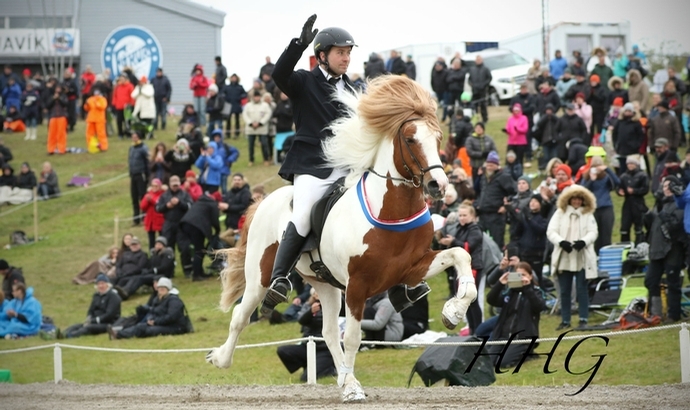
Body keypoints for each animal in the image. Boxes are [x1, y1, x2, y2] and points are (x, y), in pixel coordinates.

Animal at [206, 75, 478, 402]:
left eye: (438, 138)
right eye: (411, 139)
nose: (439, 185)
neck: (391, 211)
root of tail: (264, 201)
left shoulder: (412, 268)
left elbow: (461, 255)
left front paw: (454, 310)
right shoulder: (358, 285)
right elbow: (354, 337)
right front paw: (352, 391)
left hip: (325, 285)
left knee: (327, 333)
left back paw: (345, 379)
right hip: (260, 277)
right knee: (241, 316)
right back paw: (221, 358)